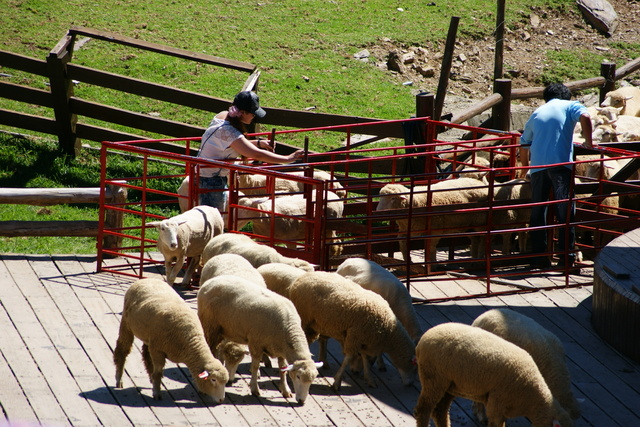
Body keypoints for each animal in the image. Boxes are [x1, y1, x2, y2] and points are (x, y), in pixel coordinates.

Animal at [198, 274, 322, 404]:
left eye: (313, 378)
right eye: (298, 376)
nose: (302, 401)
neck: (287, 328)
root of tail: (209, 282)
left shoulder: (280, 349)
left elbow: (282, 369)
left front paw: (285, 390)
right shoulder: (255, 344)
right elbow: (255, 366)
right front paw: (254, 389)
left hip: (222, 329)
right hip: (209, 325)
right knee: (210, 347)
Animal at [284, 270, 416, 392]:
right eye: (413, 366)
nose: (410, 384)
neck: (388, 330)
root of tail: (299, 279)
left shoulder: (363, 338)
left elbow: (364, 357)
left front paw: (369, 378)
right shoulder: (355, 336)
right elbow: (348, 358)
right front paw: (337, 382)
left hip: (316, 323)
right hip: (305, 318)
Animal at [416, 322, 576, 427]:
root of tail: (424, 338)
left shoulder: (503, 408)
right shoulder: (496, 404)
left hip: (450, 385)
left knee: (440, 411)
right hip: (434, 378)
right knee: (423, 409)